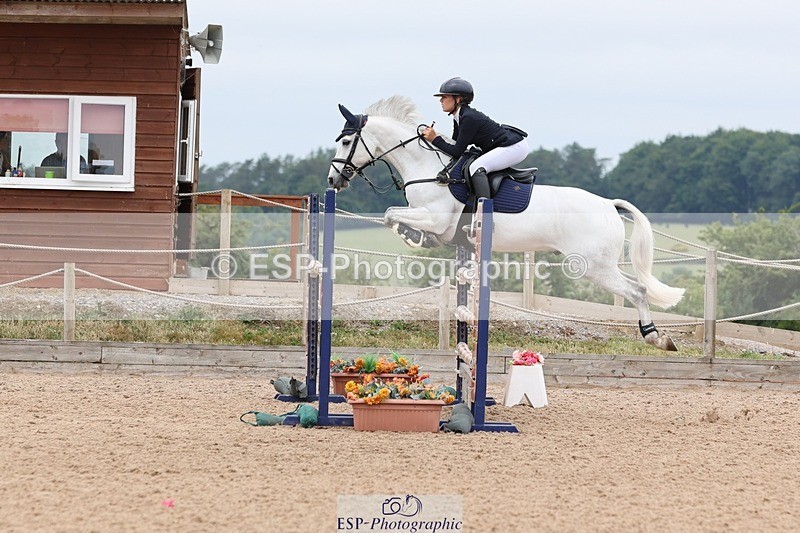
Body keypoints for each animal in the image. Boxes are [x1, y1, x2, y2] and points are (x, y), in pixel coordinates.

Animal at [327, 96, 684, 351]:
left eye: (345, 142)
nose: (333, 180)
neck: (427, 167)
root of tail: (609, 205)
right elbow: (393, 215)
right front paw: (418, 238)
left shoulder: (436, 217)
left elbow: (391, 214)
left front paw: (414, 236)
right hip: (599, 264)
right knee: (636, 287)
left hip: (591, 265)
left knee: (637, 289)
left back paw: (656, 337)